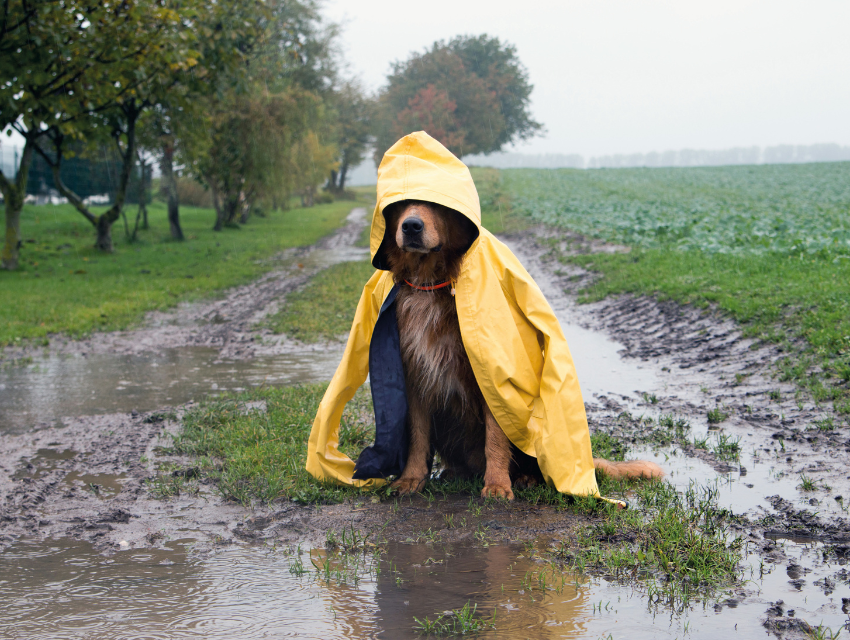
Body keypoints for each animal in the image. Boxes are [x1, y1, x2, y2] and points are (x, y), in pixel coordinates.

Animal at [380, 200, 664, 500]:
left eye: (435, 205)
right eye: (400, 204)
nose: (411, 226)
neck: (431, 283)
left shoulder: (492, 375)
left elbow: (495, 436)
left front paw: (496, 484)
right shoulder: (414, 376)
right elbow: (417, 435)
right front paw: (411, 478)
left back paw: (524, 477)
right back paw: (456, 472)